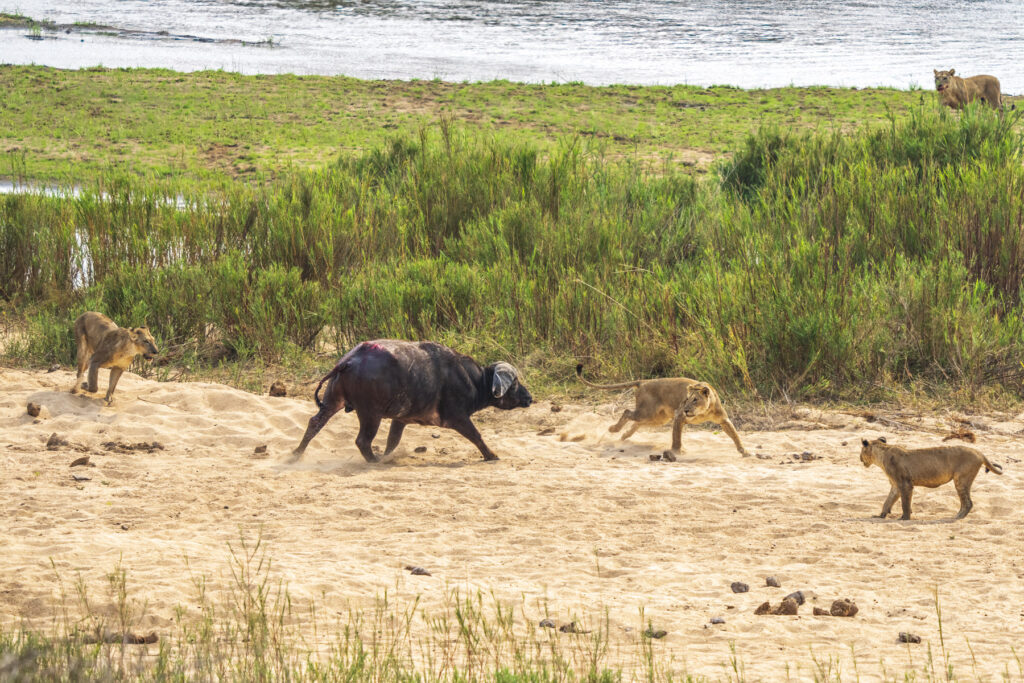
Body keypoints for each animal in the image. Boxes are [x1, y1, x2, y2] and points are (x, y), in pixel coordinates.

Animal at [288, 339, 528, 462]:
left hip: (333, 400)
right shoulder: (458, 418)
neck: (473, 380)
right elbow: (476, 435)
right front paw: (491, 455)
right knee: (362, 441)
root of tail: (348, 361)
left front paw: (388, 455)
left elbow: (392, 442)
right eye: (515, 382)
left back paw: (296, 454)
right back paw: (374, 461)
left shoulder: (400, 419)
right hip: (370, 414)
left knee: (315, 423)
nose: (529, 397)